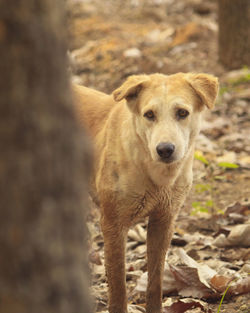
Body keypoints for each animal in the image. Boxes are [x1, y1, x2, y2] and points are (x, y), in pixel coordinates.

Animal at [72, 73, 219, 312]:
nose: (165, 149)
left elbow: (155, 280)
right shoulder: (113, 224)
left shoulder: (164, 220)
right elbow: (118, 287)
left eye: (182, 113)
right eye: (149, 115)